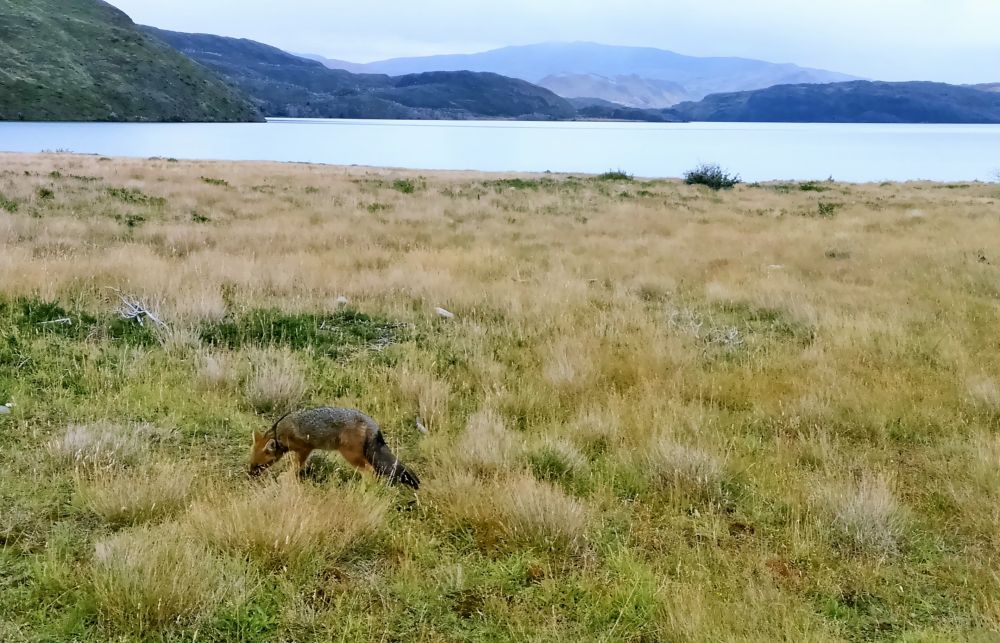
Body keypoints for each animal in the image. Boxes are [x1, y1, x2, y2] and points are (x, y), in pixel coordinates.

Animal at [249, 407, 420, 489]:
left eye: (259, 466)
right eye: (251, 464)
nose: (249, 476)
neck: (279, 433)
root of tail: (372, 423)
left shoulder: (304, 449)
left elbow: (295, 466)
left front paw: (287, 477)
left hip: (350, 455)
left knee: (370, 472)